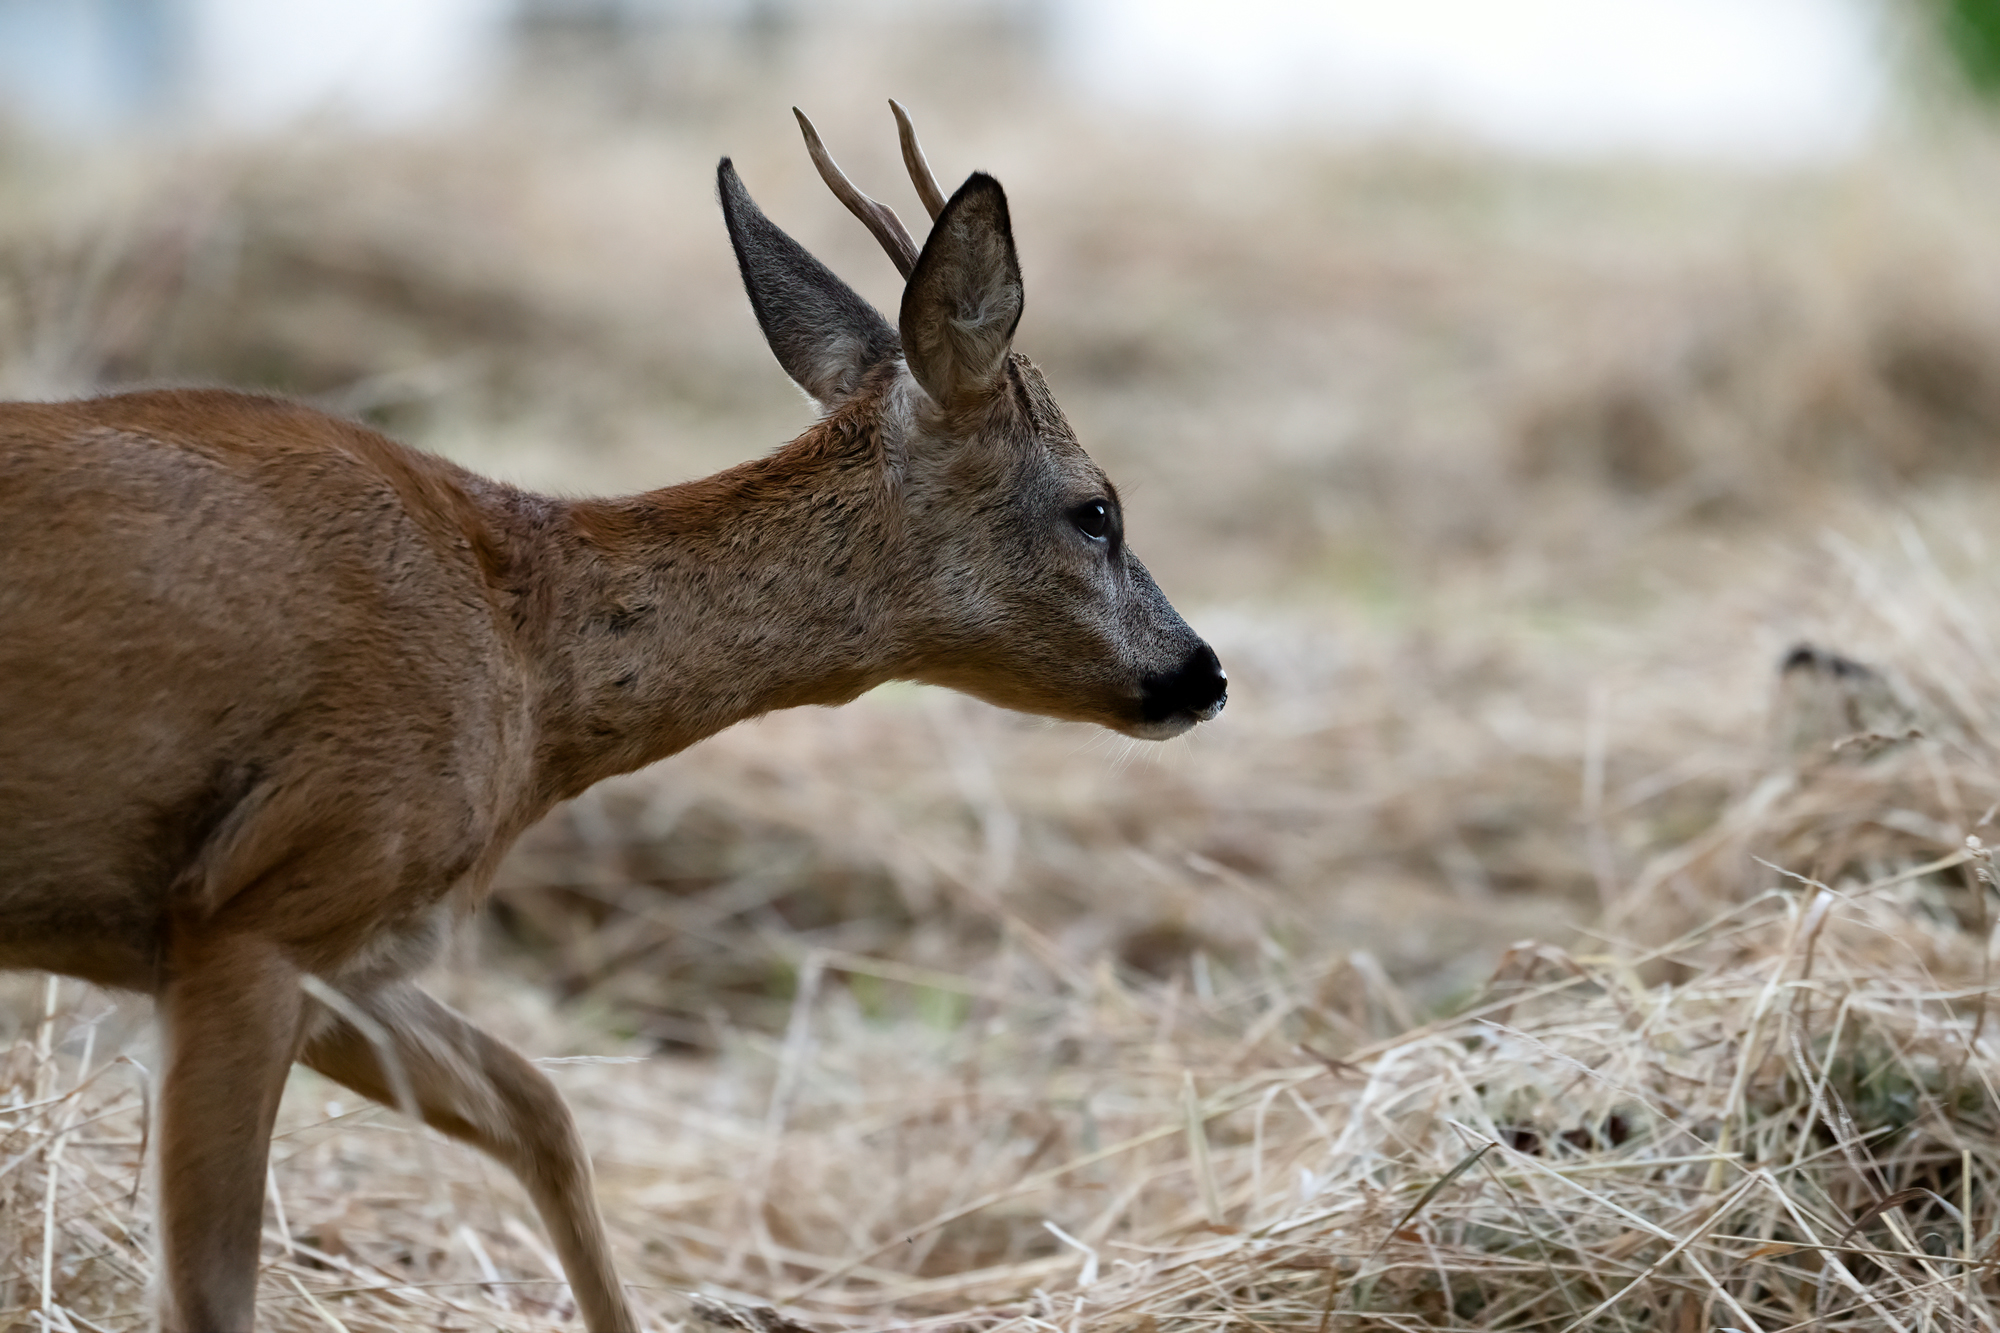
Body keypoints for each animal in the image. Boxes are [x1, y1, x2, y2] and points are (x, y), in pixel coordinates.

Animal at [0, 106, 1224, 1328]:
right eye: (1096, 510)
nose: (1202, 671)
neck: (523, 660)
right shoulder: (262, 902)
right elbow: (214, 1286)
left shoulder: (343, 952)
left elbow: (537, 1106)